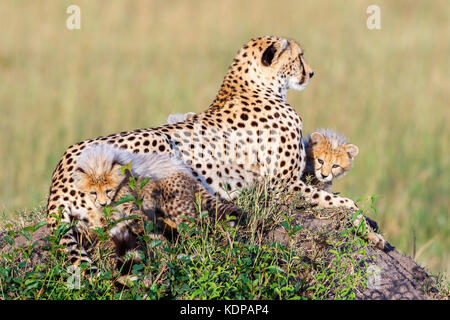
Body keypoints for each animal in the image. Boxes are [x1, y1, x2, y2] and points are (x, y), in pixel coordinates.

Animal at [47, 35, 384, 268]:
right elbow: (344, 202)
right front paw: (371, 233)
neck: (253, 86)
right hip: (160, 141)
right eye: (299, 58)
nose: (311, 73)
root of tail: (60, 170)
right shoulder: (283, 185)